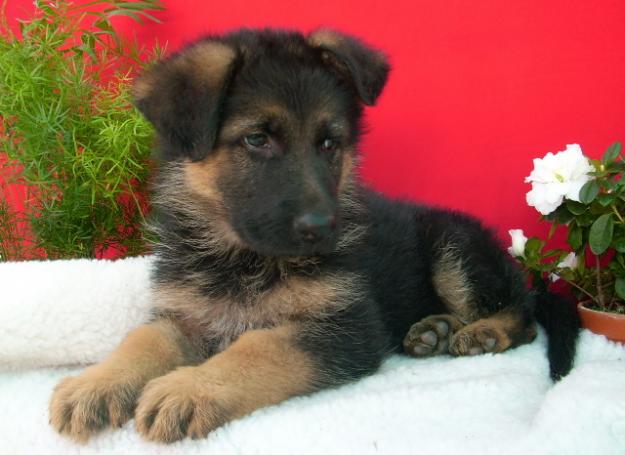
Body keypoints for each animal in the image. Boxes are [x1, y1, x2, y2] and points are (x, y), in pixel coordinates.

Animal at [48, 27, 580, 442]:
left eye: (329, 143)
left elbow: (259, 347)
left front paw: (191, 387)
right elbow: (143, 339)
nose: (324, 228)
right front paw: (95, 383)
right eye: (257, 139)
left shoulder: (346, 330)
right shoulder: (185, 316)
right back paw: (435, 330)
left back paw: (483, 331)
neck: (243, 258)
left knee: (525, 317)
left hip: (455, 249)